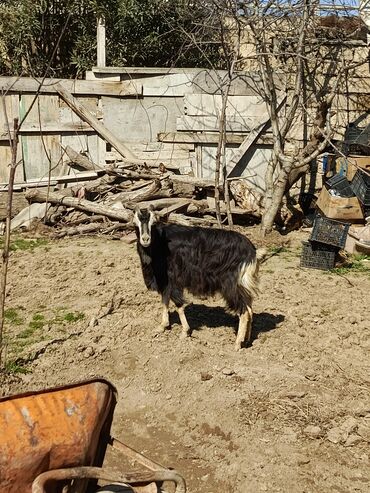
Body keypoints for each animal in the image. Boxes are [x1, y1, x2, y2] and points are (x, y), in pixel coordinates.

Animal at [134, 205, 266, 350]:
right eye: (135, 223)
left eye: (153, 223)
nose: (145, 239)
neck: (160, 242)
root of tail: (253, 253)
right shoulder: (164, 281)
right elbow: (164, 301)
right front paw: (162, 326)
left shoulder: (173, 279)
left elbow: (178, 304)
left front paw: (184, 331)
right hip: (242, 285)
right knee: (250, 309)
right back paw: (246, 341)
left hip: (230, 286)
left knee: (244, 311)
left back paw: (237, 344)